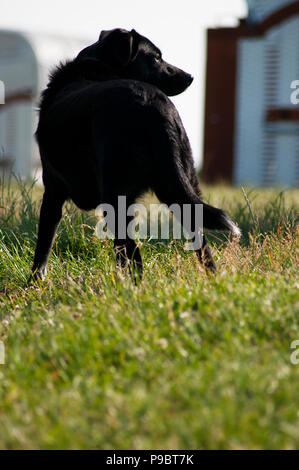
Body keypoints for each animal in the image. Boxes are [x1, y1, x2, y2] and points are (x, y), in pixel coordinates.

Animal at [32, 28, 241, 280]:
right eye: (156, 58)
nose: (190, 76)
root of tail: (153, 105)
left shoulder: (52, 189)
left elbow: (43, 246)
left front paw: (35, 282)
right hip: (180, 185)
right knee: (199, 242)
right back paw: (211, 278)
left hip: (116, 197)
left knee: (132, 256)